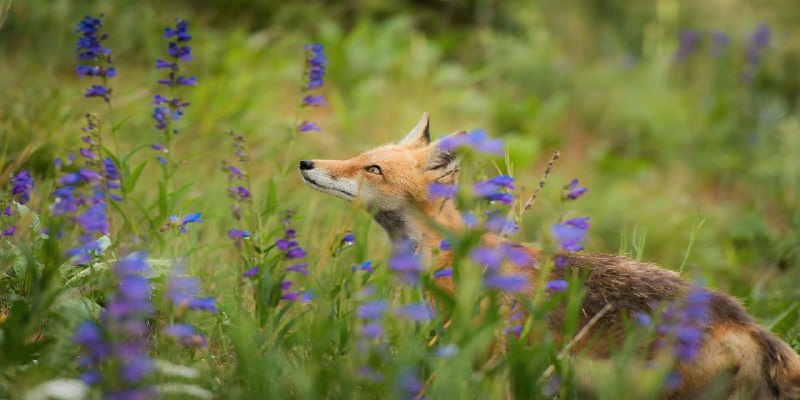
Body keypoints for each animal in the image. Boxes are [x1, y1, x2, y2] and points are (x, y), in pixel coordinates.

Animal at [299, 112, 800, 399]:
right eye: (362, 158)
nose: (306, 163)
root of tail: (744, 320)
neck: (447, 256)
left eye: (372, 169)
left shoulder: (480, 350)